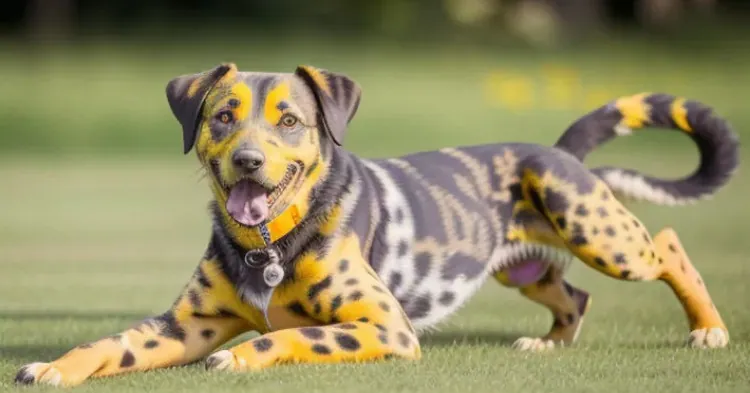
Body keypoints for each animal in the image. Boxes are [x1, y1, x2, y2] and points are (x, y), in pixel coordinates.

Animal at [14, 62, 744, 384]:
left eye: (289, 120)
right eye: (223, 116)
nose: (248, 160)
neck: (266, 247)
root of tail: (558, 148)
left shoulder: (383, 326)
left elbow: (295, 334)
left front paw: (243, 355)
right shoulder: (182, 324)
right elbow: (112, 344)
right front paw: (53, 364)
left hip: (598, 230)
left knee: (669, 244)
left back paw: (709, 329)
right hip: (525, 268)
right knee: (573, 296)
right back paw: (549, 345)